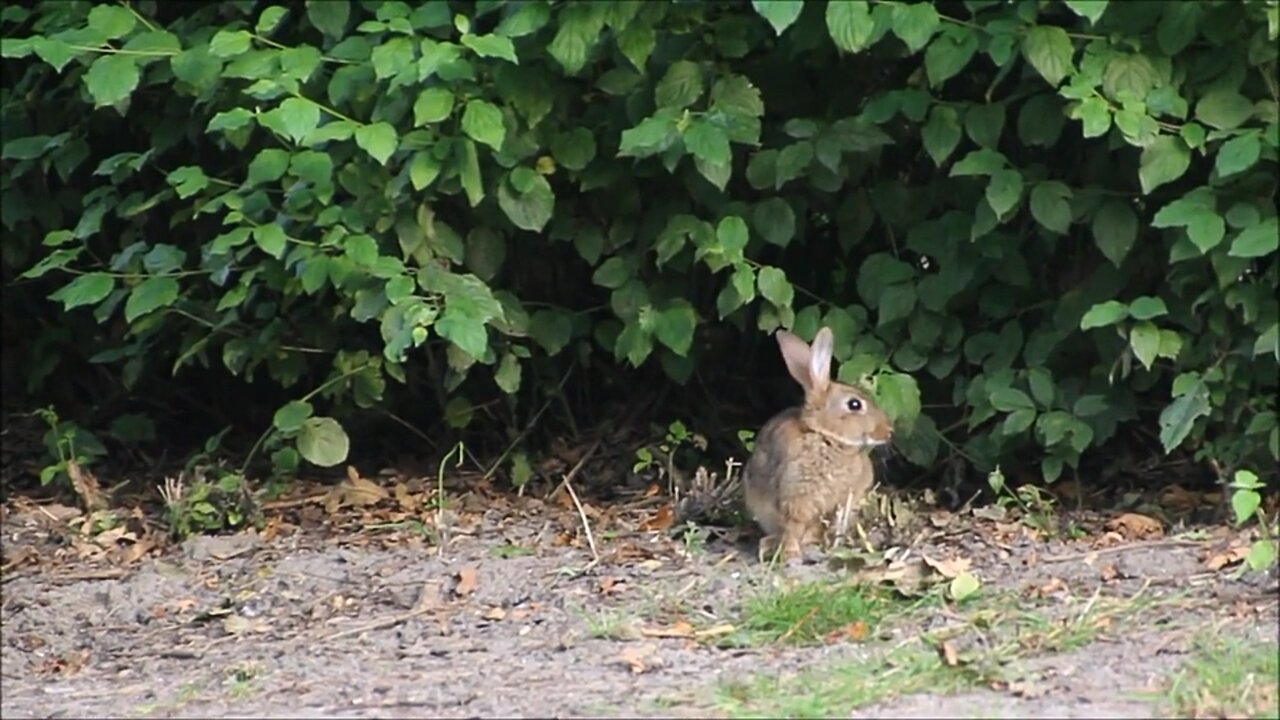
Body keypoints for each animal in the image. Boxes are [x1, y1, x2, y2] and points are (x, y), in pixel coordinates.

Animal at [747, 324, 896, 561]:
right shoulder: (795, 497)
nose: (888, 432)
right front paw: (790, 553)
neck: (826, 438)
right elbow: (794, 527)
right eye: (854, 405)